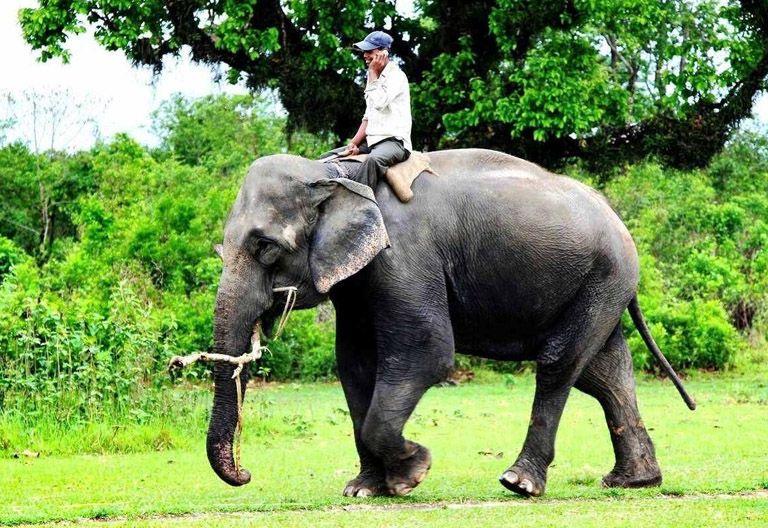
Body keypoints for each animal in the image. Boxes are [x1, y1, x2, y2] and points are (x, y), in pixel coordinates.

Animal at [207, 148, 694, 498]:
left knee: (561, 363)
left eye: (266, 247)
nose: (246, 474)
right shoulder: (359, 281)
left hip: (605, 275)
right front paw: (363, 490)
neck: (335, 172)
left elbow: (427, 352)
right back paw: (633, 482)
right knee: (604, 374)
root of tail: (617, 218)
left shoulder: (403, 256)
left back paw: (519, 483)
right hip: (599, 284)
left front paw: (412, 473)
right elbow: (354, 364)